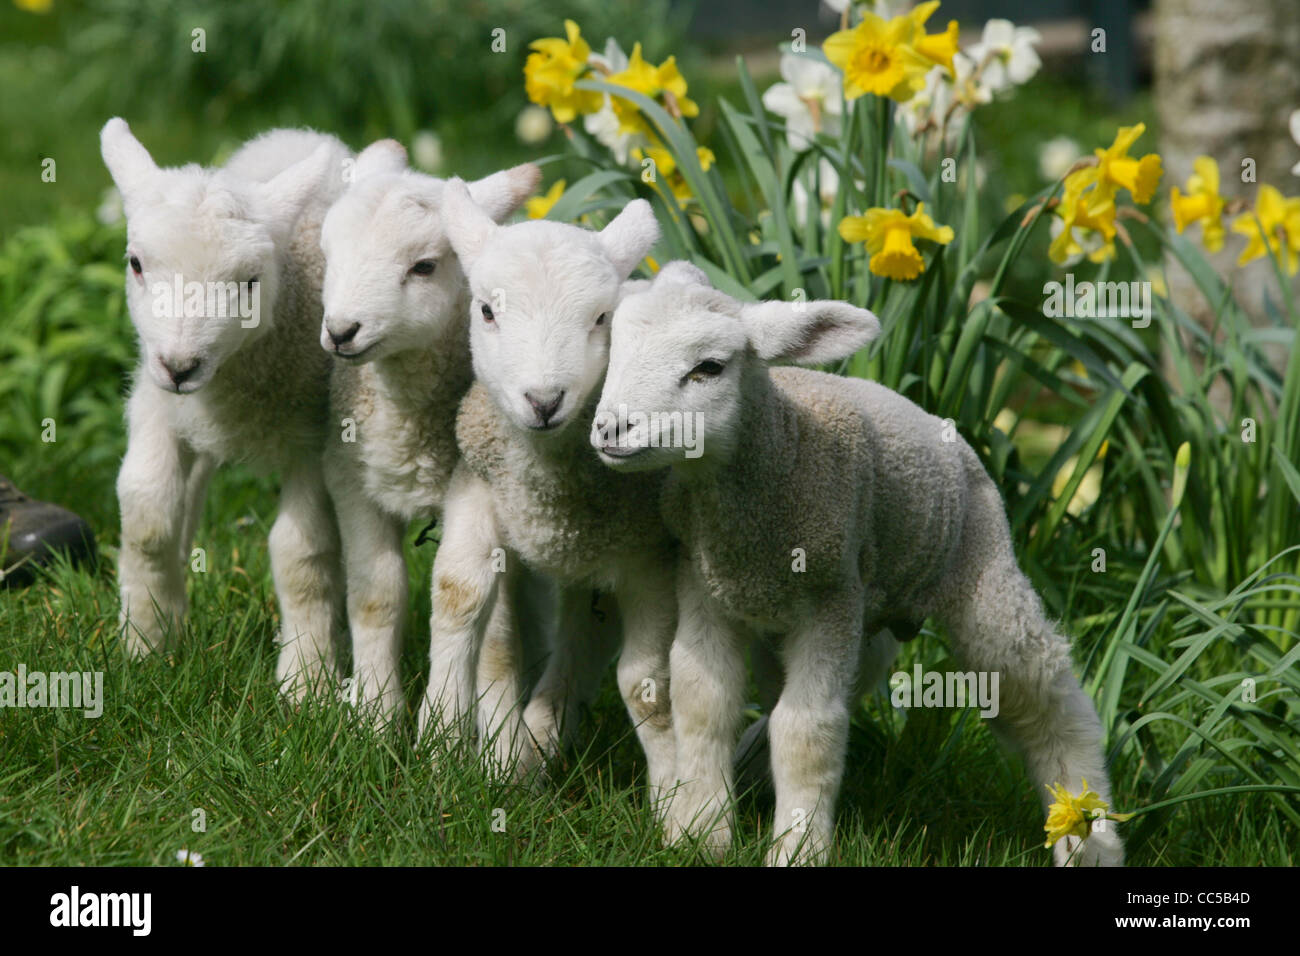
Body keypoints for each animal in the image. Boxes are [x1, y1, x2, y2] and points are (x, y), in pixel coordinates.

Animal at [102, 119, 353, 697]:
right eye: (136, 264)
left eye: (250, 282)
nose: (180, 366)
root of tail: (300, 131)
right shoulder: (157, 407)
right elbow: (148, 517)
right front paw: (145, 641)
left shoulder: (311, 435)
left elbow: (301, 553)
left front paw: (307, 681)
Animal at [317, 138, 540, 733]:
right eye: (328, 257)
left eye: (424, 266)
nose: (341, 332)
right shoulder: (352, 475)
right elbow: (376, 591)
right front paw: (374, 716)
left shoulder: (479, 486)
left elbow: (461, 597)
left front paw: (447, 732)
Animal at [421, 180, 676, 801]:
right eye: (487, 310)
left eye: (603, 317)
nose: (543, 401)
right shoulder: (477, 487)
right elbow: (459, 594)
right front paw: (439, 745)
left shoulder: (651, 556)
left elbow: (647, 681)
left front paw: (690, 808)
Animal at [595, 261, 1123, 868]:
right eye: (612, 352)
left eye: (709, 367)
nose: (610, 430)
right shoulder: (706, 587)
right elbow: (705, 703)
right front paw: (699, 834)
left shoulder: (831, 596)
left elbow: (808, 731)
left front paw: (797, 849)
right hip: (849, 617)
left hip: (983, 570)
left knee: (1046, 697)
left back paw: (1088, 835)